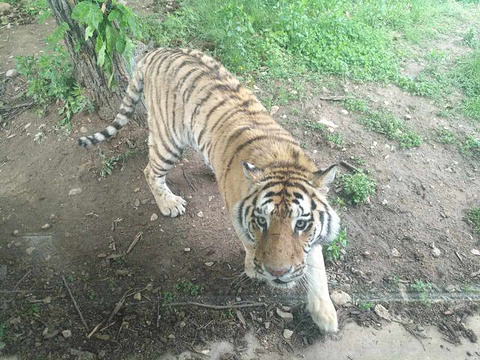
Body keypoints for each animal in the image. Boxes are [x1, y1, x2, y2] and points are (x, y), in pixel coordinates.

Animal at [79, 47, 342, 332]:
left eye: (301, 224)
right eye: (261, 222)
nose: (278, 273)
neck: (282, 162)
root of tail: (158, 50)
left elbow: (318, 269)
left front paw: (325, 315)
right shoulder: (237, 216)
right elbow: (250, 245)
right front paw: (254, 269)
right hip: (168, 140)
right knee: (150, 171)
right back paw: (169, 203)